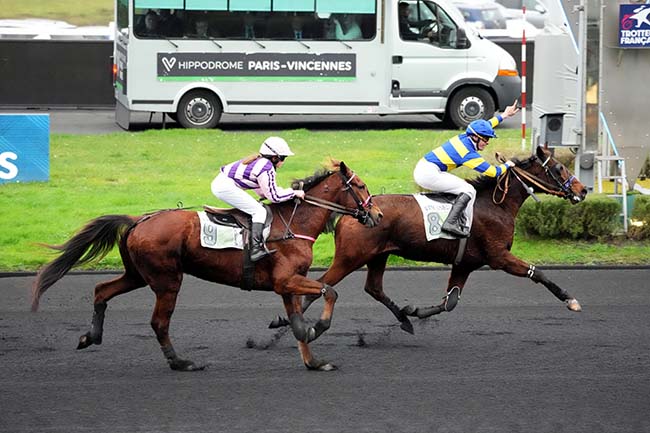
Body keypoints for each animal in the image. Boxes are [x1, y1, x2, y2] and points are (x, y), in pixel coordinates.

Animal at [33, 160, 382, 370]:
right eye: (361, 186)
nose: (377, 215)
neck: (292, 224)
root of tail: (139, 219)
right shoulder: (285, 281)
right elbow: (329, 292)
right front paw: (318, 329)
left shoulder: (287, 284)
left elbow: (298, 323)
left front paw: (314, 361)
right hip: (167, 280)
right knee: (159, 323)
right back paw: (181, 362)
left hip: (138, 275)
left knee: (101, 290)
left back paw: (89, 336)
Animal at [270, 143, 584, 332]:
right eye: (559, 168)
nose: (583, 190)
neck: (496, 205)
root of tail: (354, 212)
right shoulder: (499, 257)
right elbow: (537, 273)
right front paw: (570, 300)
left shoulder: (465, 263)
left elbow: (450, 302)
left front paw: (415, 310)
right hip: (351, 257)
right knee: (321, 285)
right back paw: (287, 322)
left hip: (378, 255)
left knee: (373, 288)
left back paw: (404, 319)